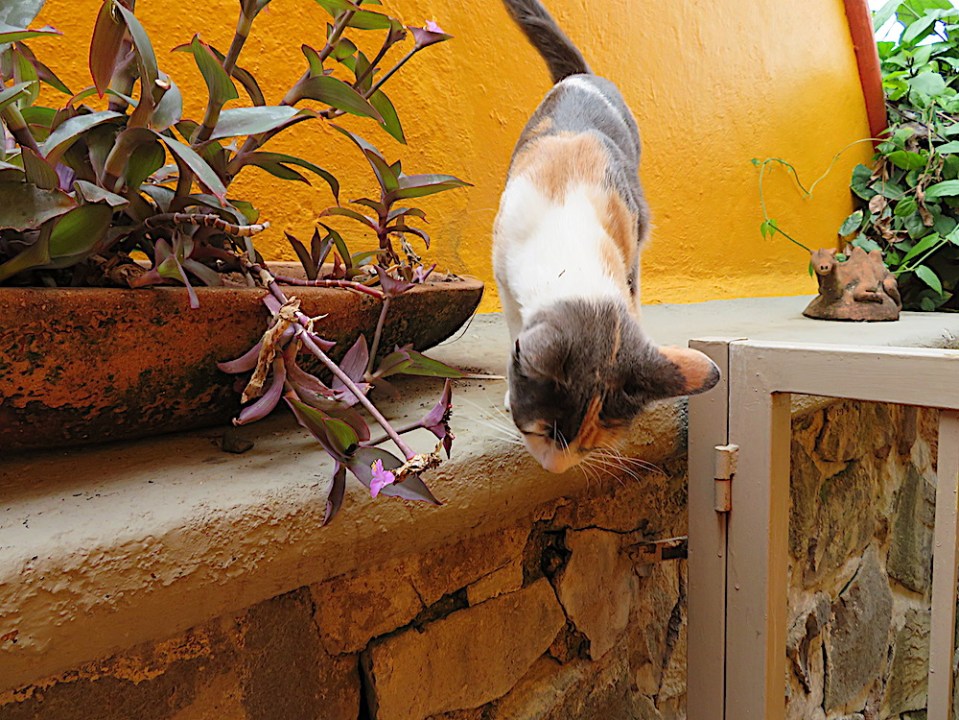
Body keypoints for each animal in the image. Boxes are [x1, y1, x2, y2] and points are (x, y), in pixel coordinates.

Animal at [494, 0, 721, 473]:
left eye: (593, 444)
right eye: (539, 430)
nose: (553, 469)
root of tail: (584, 75)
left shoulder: (629, 245)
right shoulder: (502, 266)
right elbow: (513, 323)